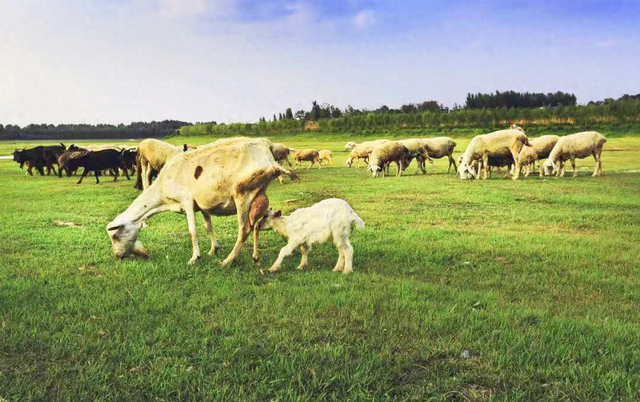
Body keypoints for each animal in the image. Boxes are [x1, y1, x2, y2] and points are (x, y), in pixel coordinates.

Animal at [105, 137, 298, 266]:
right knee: (256, 226)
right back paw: (255, 257)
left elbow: (193, 231)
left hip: (242, 194)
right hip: (258, 194)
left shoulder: (187, 201)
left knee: (244, 229)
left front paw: (195, 258)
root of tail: (266, 148)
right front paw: (214, 249)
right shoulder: (202, 205)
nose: (118, 256)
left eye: (115, 235)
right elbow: (208, 226)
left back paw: (228, 260)